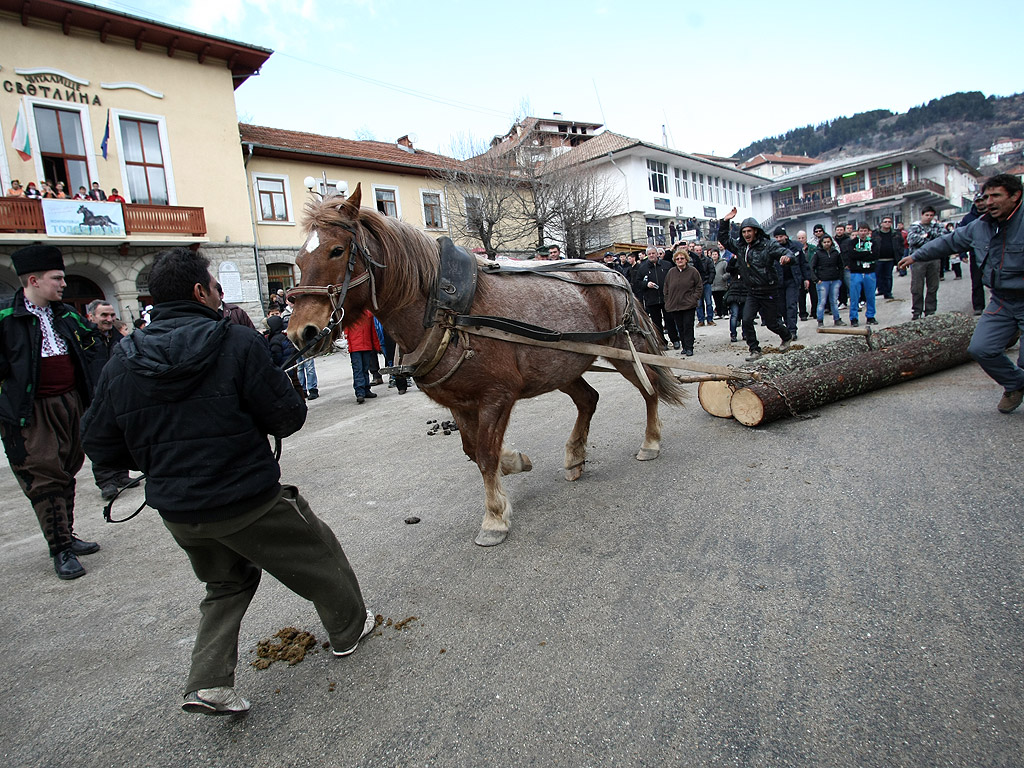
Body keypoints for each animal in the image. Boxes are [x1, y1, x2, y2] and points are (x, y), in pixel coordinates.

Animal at [288, 185, 688, 548]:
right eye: (298, 261)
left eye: (337, 250)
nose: (300, 332)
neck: (447, 310)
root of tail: (613, 272)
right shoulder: (459, 401)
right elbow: (473, 450)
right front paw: (517, 462)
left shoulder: (497, 396)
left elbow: (485, 453)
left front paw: (494, 517)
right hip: (561, 366)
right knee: (588, 399)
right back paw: (575, 456)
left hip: (625, 350)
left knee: (649, 389)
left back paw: (650, 441)